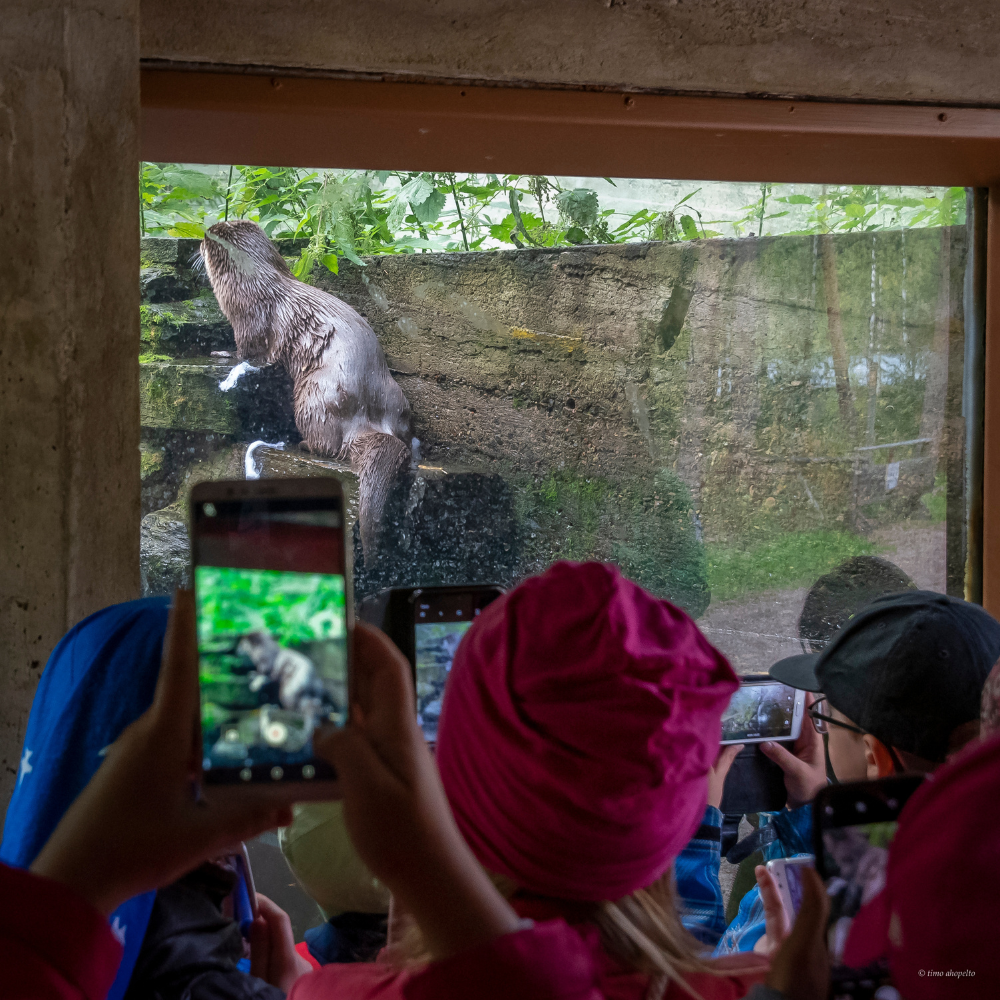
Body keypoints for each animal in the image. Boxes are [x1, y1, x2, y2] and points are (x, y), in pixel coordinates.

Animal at [201, 220, 412, 560]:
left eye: (206, 237)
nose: (199, 240)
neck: (251, 282)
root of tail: (368, 422)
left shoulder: (249, 319)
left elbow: (248, 351)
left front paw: (222, 353)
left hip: (313, 397)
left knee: (327, 444)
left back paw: (301, 444)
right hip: (396, 398)